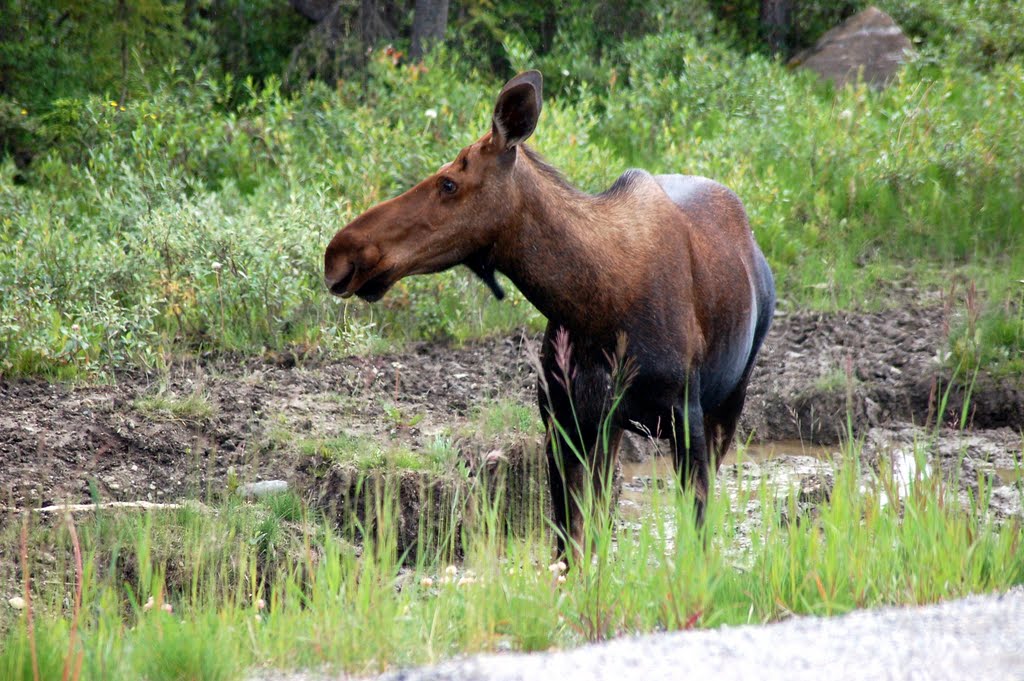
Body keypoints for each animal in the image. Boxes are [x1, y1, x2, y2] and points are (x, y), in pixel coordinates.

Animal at [327, 69, 774, 561]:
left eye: (448, 183)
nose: (341, 252)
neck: (595, 308)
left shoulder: (685, 419)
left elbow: (692, 541)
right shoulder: (563, 425)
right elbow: (571, 547)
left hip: (730, 398)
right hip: (611, 428)